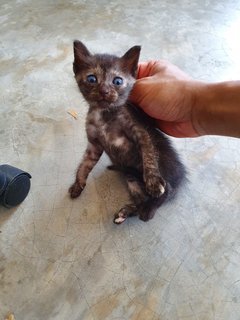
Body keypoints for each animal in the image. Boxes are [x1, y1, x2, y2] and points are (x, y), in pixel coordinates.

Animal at [68, 40, 187, 224]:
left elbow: (148, 155)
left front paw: (153, 181)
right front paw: (78, 184)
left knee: (166, 190)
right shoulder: (94, 145)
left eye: (117, 81)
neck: (103, 114)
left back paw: (149, 209)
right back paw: (127, 212)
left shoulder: (140, 131)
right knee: (141, 200)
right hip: (131, 178)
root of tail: (180, 176)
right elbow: (85, 164)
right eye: (92, 79)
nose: (104, 91)